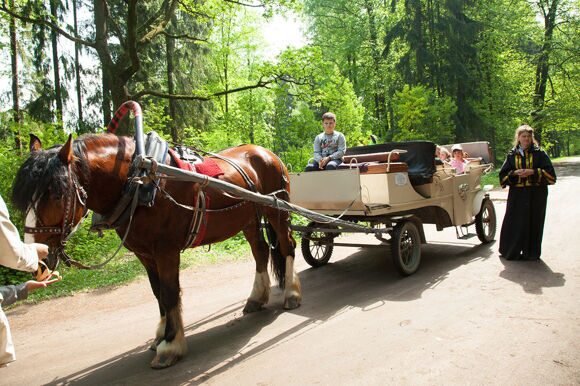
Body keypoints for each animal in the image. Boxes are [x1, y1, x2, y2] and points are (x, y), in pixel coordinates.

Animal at [11, 134, 302, 370]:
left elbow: (170, 292)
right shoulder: (145, 254)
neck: (139, 181)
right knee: (260, 252)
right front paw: (161, 335)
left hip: (277, 210)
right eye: (24, 200)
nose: (39, 259)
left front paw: (170, 345)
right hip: (249, 219)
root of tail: (266, 152)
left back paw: (291, 294)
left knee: (287, 246)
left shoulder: (166, 250)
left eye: (57, 195)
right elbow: (158, 292)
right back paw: (256, 297)